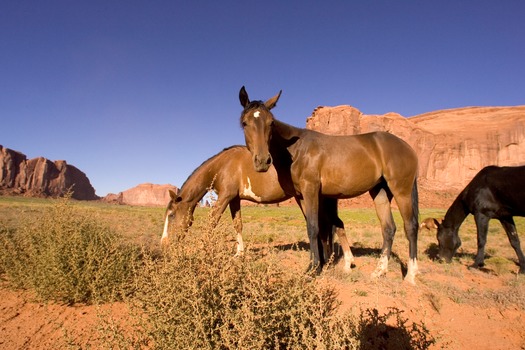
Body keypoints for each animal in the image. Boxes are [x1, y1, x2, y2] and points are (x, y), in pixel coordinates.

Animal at [162, 145, 354, 268]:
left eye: (171, 215)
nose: (164, 244)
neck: (223, 165)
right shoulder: (234, 199)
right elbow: (237, 224)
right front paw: (239, 254)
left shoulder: (225, 197)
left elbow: (212, 222)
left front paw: (203, 251)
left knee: (332, 225)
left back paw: (345, 261)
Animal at [237, 87, 418, 284]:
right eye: (245, 123)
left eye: (271, 123)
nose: (263, 161)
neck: (297, 150)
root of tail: (407, 147)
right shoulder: (301, 196)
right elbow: (315, 228)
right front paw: (317, 265)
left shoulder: (311, 190)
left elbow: (313, 227)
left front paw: (313, 269)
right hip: (381, 192)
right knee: (388, 228)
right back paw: (379, 271)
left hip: (401, 191)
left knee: (410, 226)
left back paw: (410, 275)